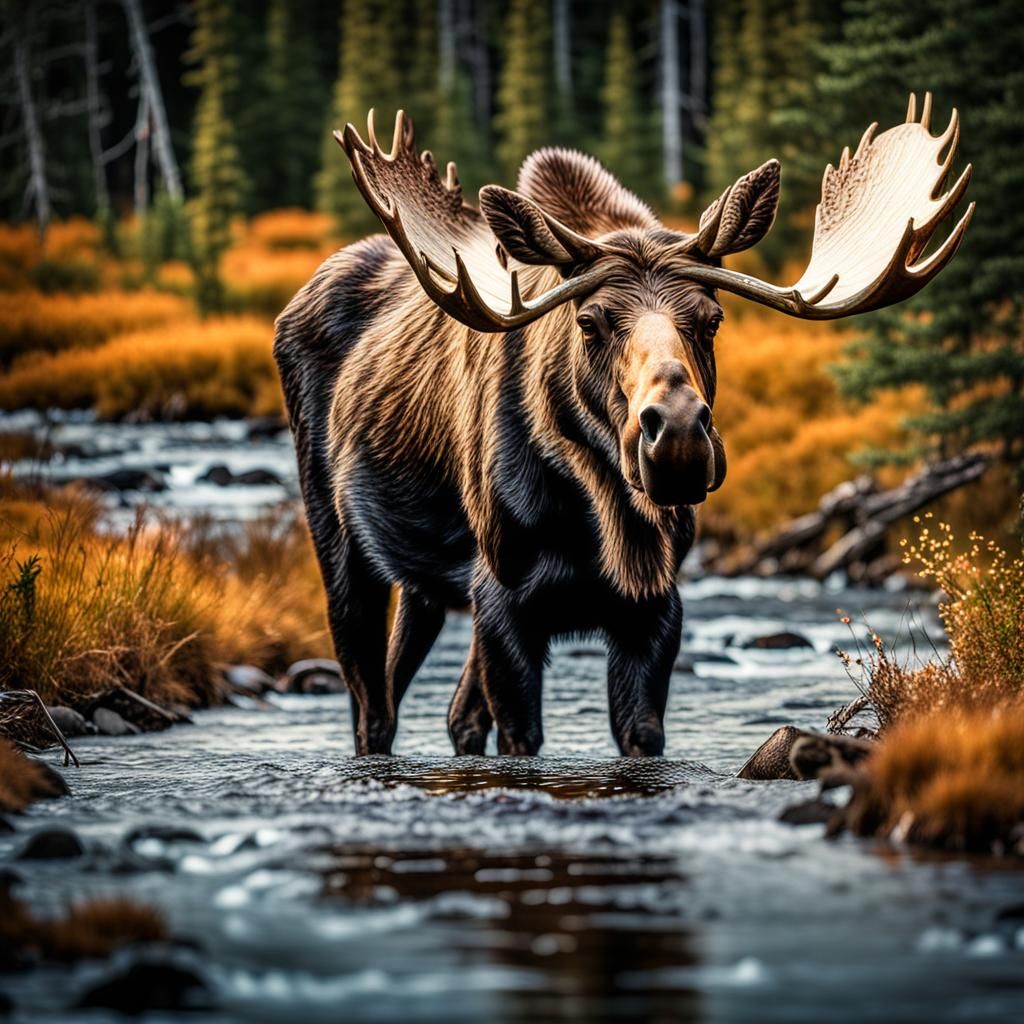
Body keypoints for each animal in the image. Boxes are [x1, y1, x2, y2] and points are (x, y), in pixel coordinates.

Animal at [274, 93, 972, 757]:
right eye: (589, 321)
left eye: (713, 318)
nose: (679, 435)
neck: (605, 521)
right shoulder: (504, 599)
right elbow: (518, 737)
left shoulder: (654, 608)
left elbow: (639, 734)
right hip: (339, 543)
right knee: (373, 705)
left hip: (427, 588)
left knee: (438, 703)